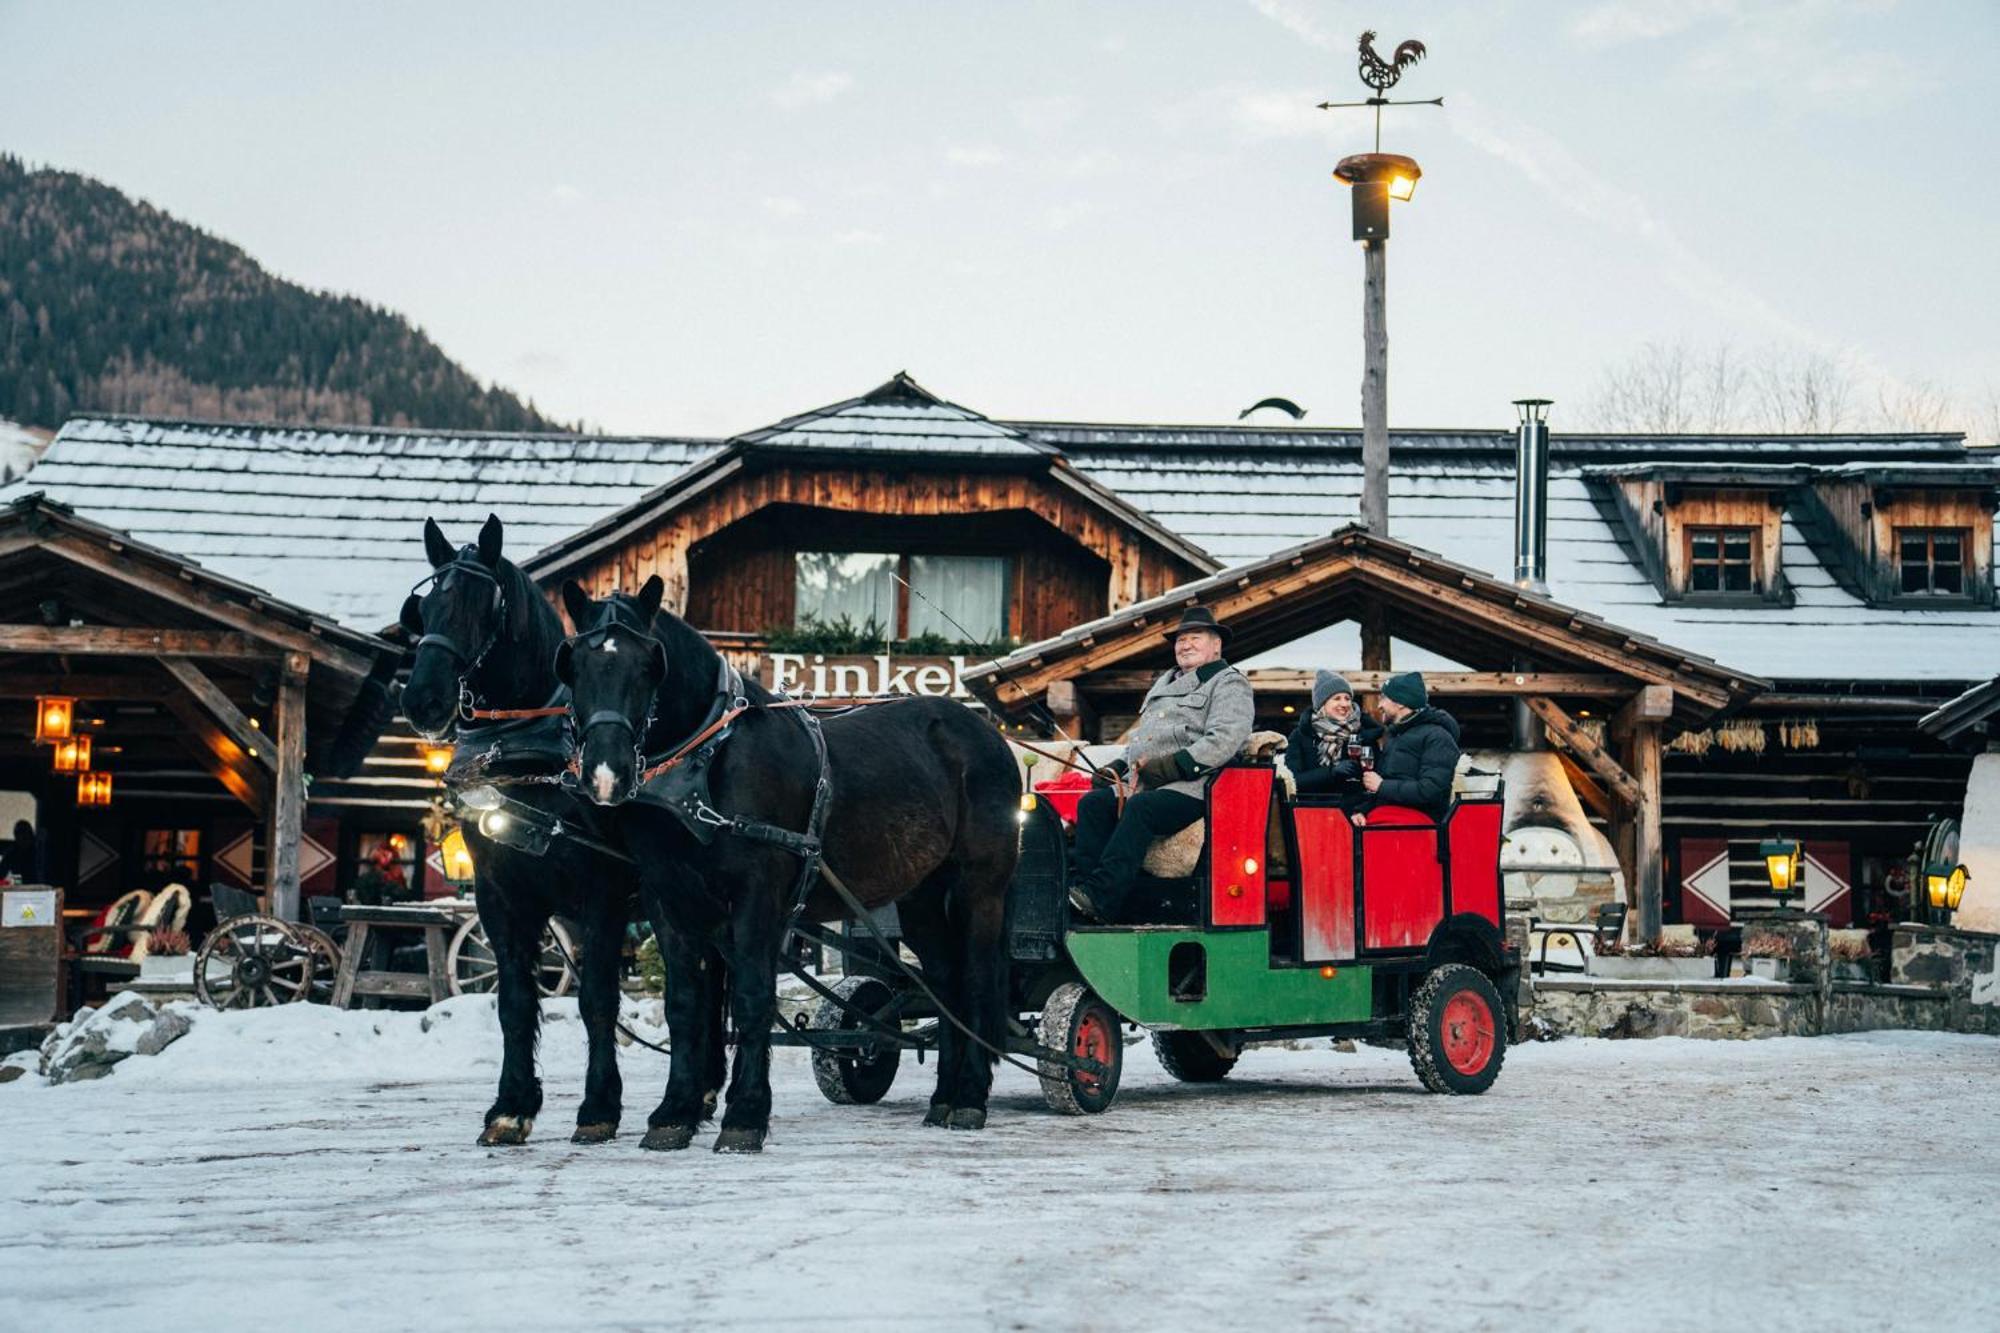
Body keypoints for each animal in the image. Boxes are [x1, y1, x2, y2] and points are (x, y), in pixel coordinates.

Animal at [400, 516, 728, 1144]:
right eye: (423, 609)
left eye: (479, 605)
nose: (421, 700)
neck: (529, 756)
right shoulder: (499, 894)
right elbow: (514, 1001)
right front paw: (511, 1105)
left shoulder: (598, 892)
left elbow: (597, 998)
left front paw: (598, 1106)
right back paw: (702, 1088)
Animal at [564, 576, 1024, 1144]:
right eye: (573, 666)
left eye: (650, 664)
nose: (606, 774)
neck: (707, 764)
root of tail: (988, 736)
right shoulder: (668, 897)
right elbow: (686, 1005)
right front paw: (674, 1113)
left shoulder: (757, 894)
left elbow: (752, 996)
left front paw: (744, 1115)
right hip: (921, 893)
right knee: (945, 981)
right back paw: (944, 1098)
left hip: (980, 886)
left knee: (978, 979)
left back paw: (970, 1098)